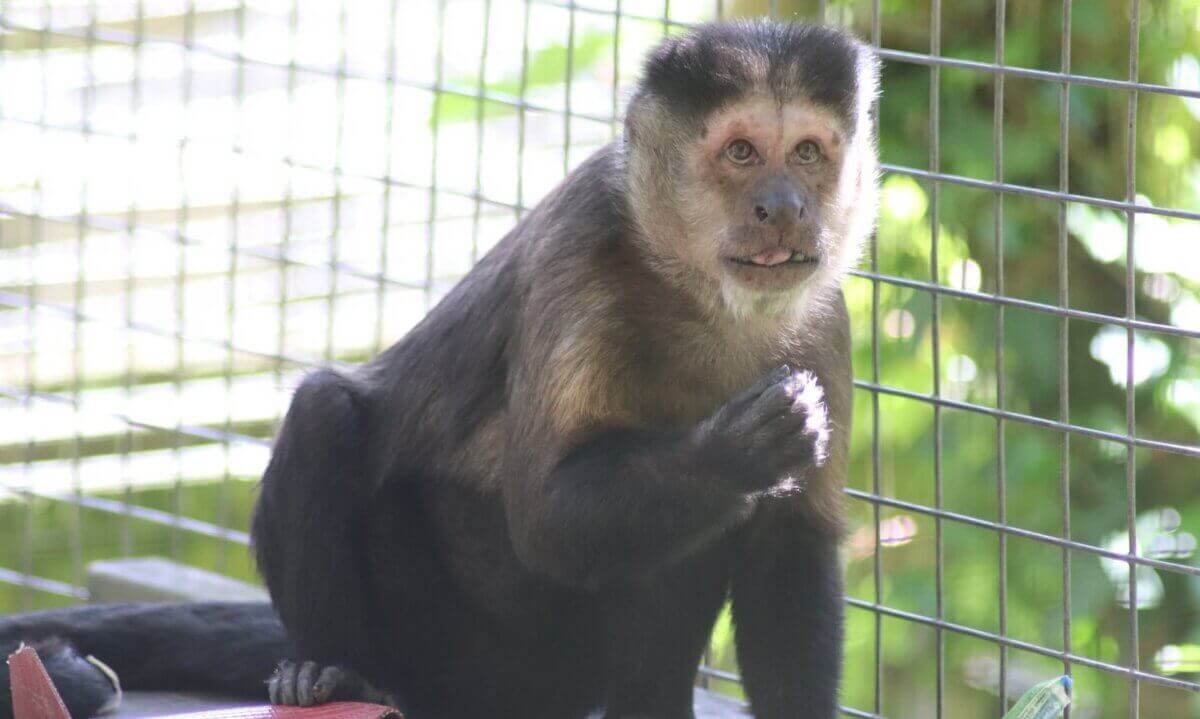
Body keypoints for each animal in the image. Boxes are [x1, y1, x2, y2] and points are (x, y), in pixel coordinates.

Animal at [0, 20, 878, 719]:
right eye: (741, 152)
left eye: (807, 153)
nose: (784, 206)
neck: (700, 294)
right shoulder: (585, 251)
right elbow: (549, 518)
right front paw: (736, 447)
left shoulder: (824, 315)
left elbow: (791, 546)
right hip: (451, 649)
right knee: (326, 415)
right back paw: (330, 671)